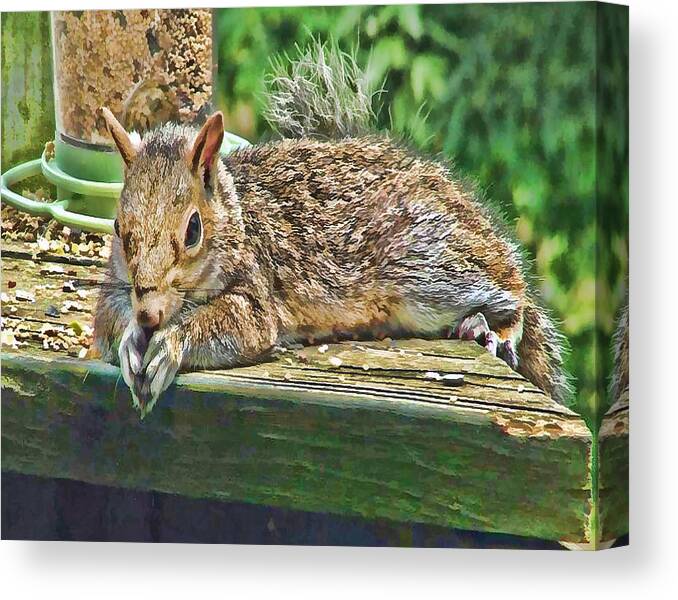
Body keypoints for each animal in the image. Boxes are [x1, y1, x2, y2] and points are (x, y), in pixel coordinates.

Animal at [94, 44, 572, 414]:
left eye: (193, 230)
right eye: (117, 226)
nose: (149, 314)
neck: (238, 216)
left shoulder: (257, 290)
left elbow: (239, 323)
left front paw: (168, 345)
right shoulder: (116, 285)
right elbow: (107, 319)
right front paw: (131, 339)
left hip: (427, 267)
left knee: (514, 295)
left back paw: (490, 327)